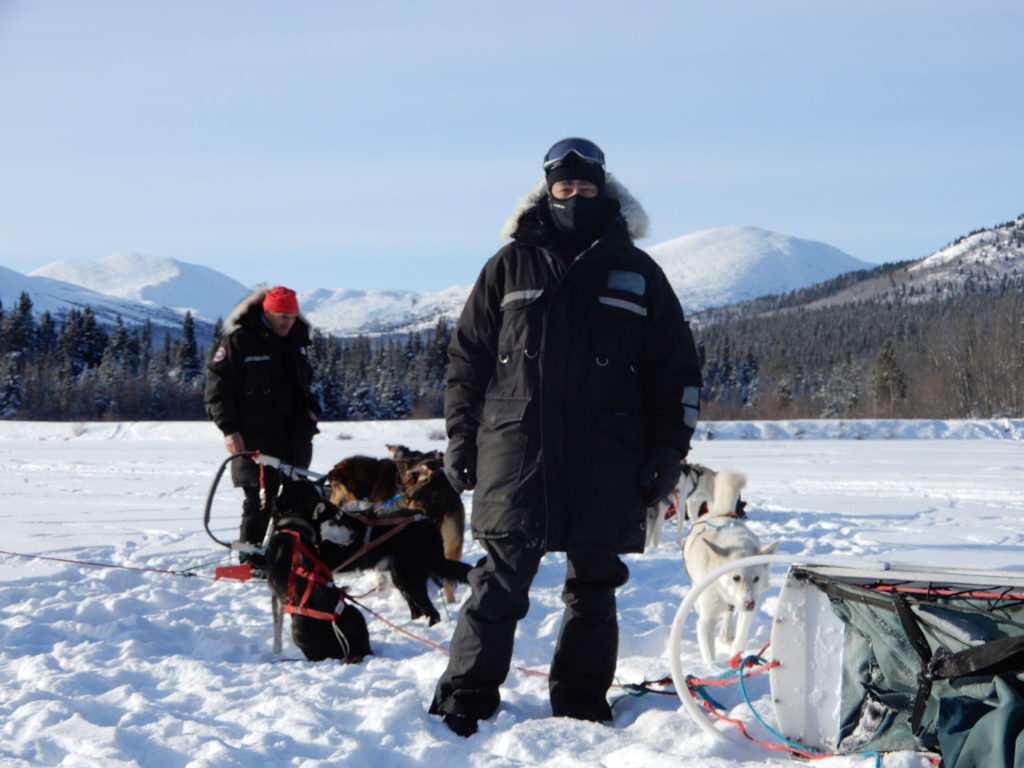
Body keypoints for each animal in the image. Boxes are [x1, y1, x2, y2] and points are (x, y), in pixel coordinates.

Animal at [327, 448, 468, 606]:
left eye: (335, 486)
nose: (330, 503)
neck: (375, 477)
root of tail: (443, 497)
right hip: (453, 542)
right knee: (449, 581)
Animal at [679, 468, 774, 667]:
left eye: (757, 578)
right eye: (735, 577)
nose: (750, 604)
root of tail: (720, 512)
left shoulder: (747, 609)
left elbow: (740, 638)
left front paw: (737, 657)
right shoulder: (706, 620)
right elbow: (708, 651)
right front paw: (711, 669)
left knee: (729, 614)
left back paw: (726, 632)